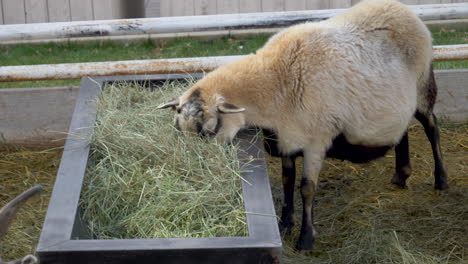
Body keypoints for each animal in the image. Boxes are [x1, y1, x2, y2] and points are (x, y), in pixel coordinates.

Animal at [159, 0, 448, 251]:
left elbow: (307, 188)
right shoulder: (286, 137)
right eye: (178, 129)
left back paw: (441, 180)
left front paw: (306, 238)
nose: (193, 173)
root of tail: (402, 7)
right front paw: (285, 222)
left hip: (423, 85)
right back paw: (401, 173)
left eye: (209, 131)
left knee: (431, 128)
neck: (276, 80)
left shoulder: (316, 139)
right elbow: (287, 180)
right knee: (402, 129)